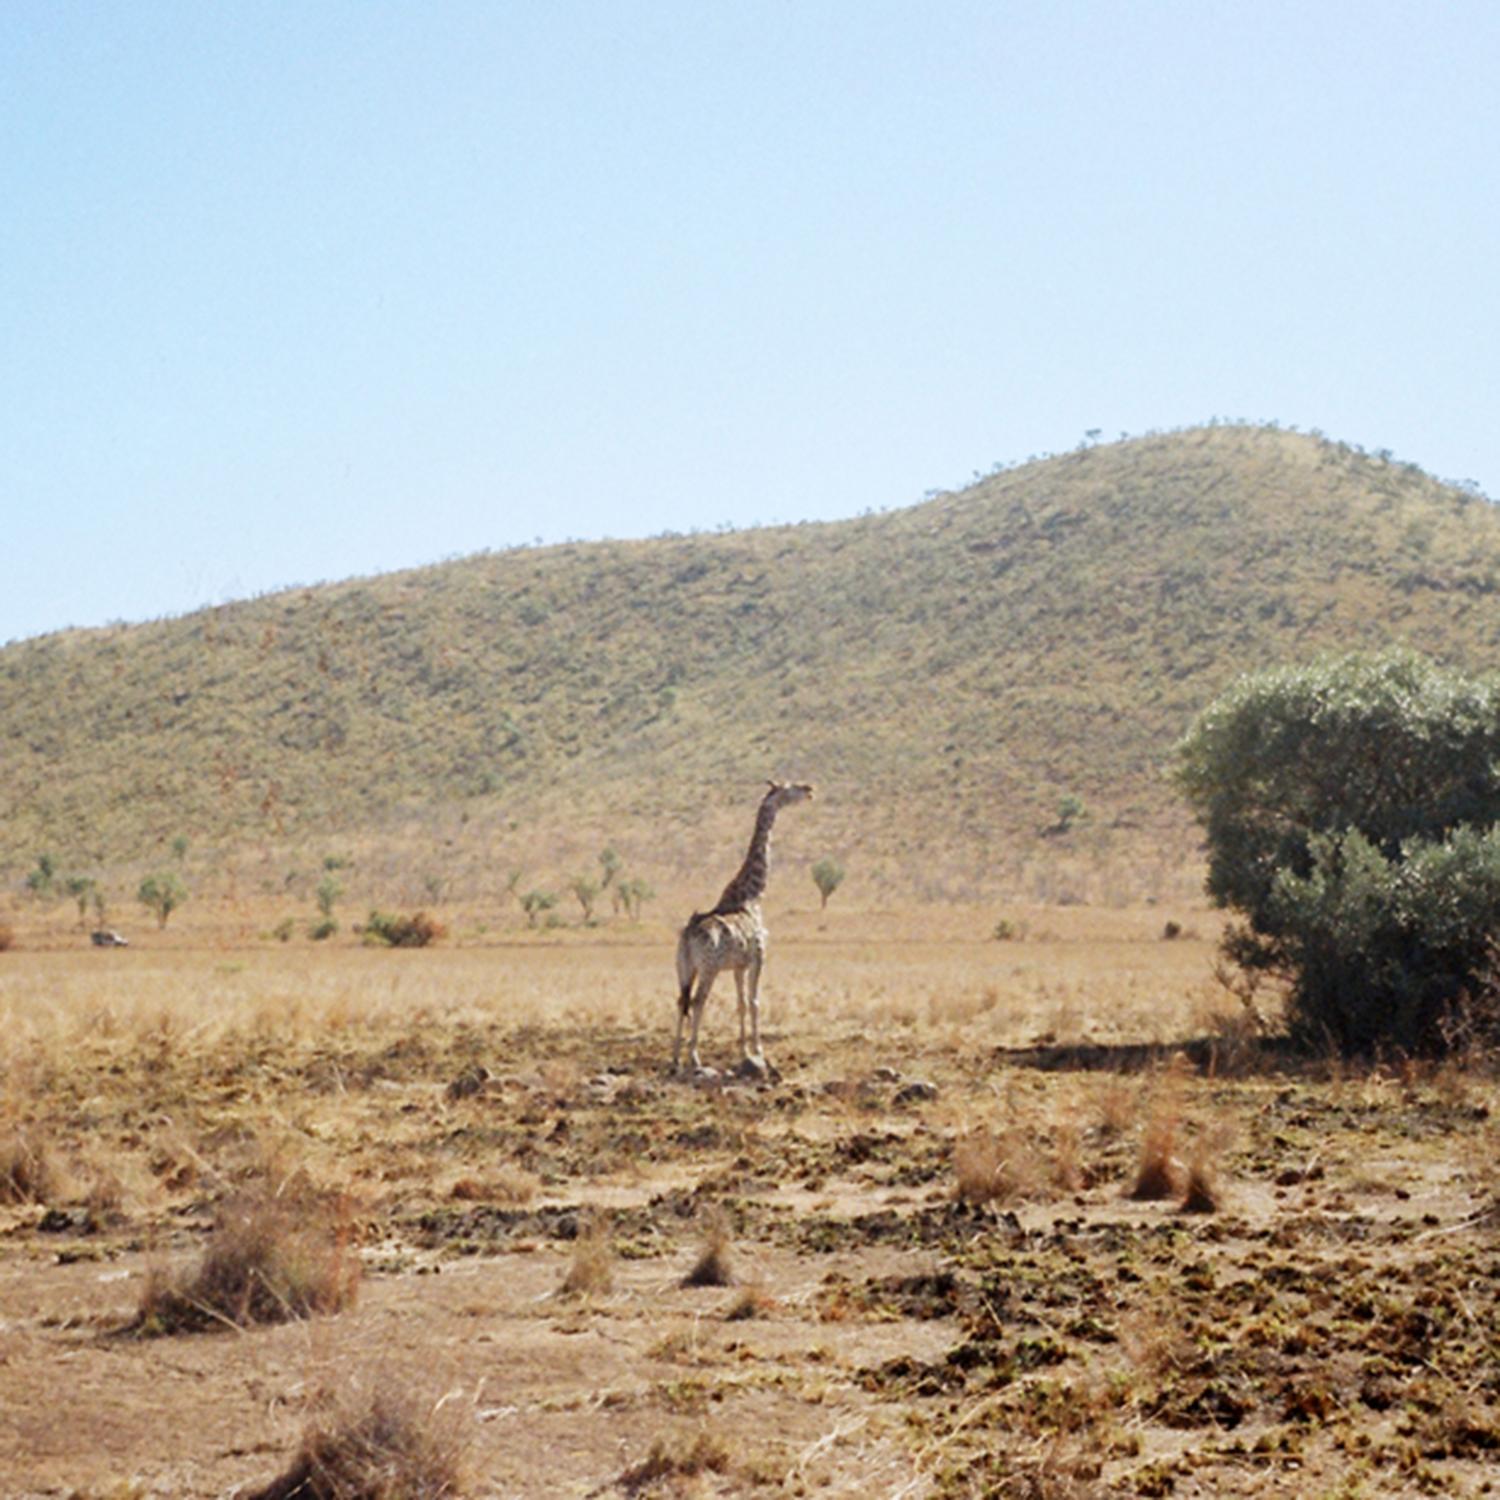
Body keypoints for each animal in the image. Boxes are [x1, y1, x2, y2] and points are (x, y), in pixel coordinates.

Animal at [675, 786, 816, 1080]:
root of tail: (687, 937)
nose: (810, 790)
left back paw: (674, 1058)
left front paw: (743, 1052)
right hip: (708, 968)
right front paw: (759, 1050)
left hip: (684, 967)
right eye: (790, 788)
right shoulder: (759, 957)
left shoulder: (738, 966)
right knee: (697, 1001)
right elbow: (754, 1001)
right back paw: (694, 1057)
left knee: (681, 1001)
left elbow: (740, 1002)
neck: (752, 895)